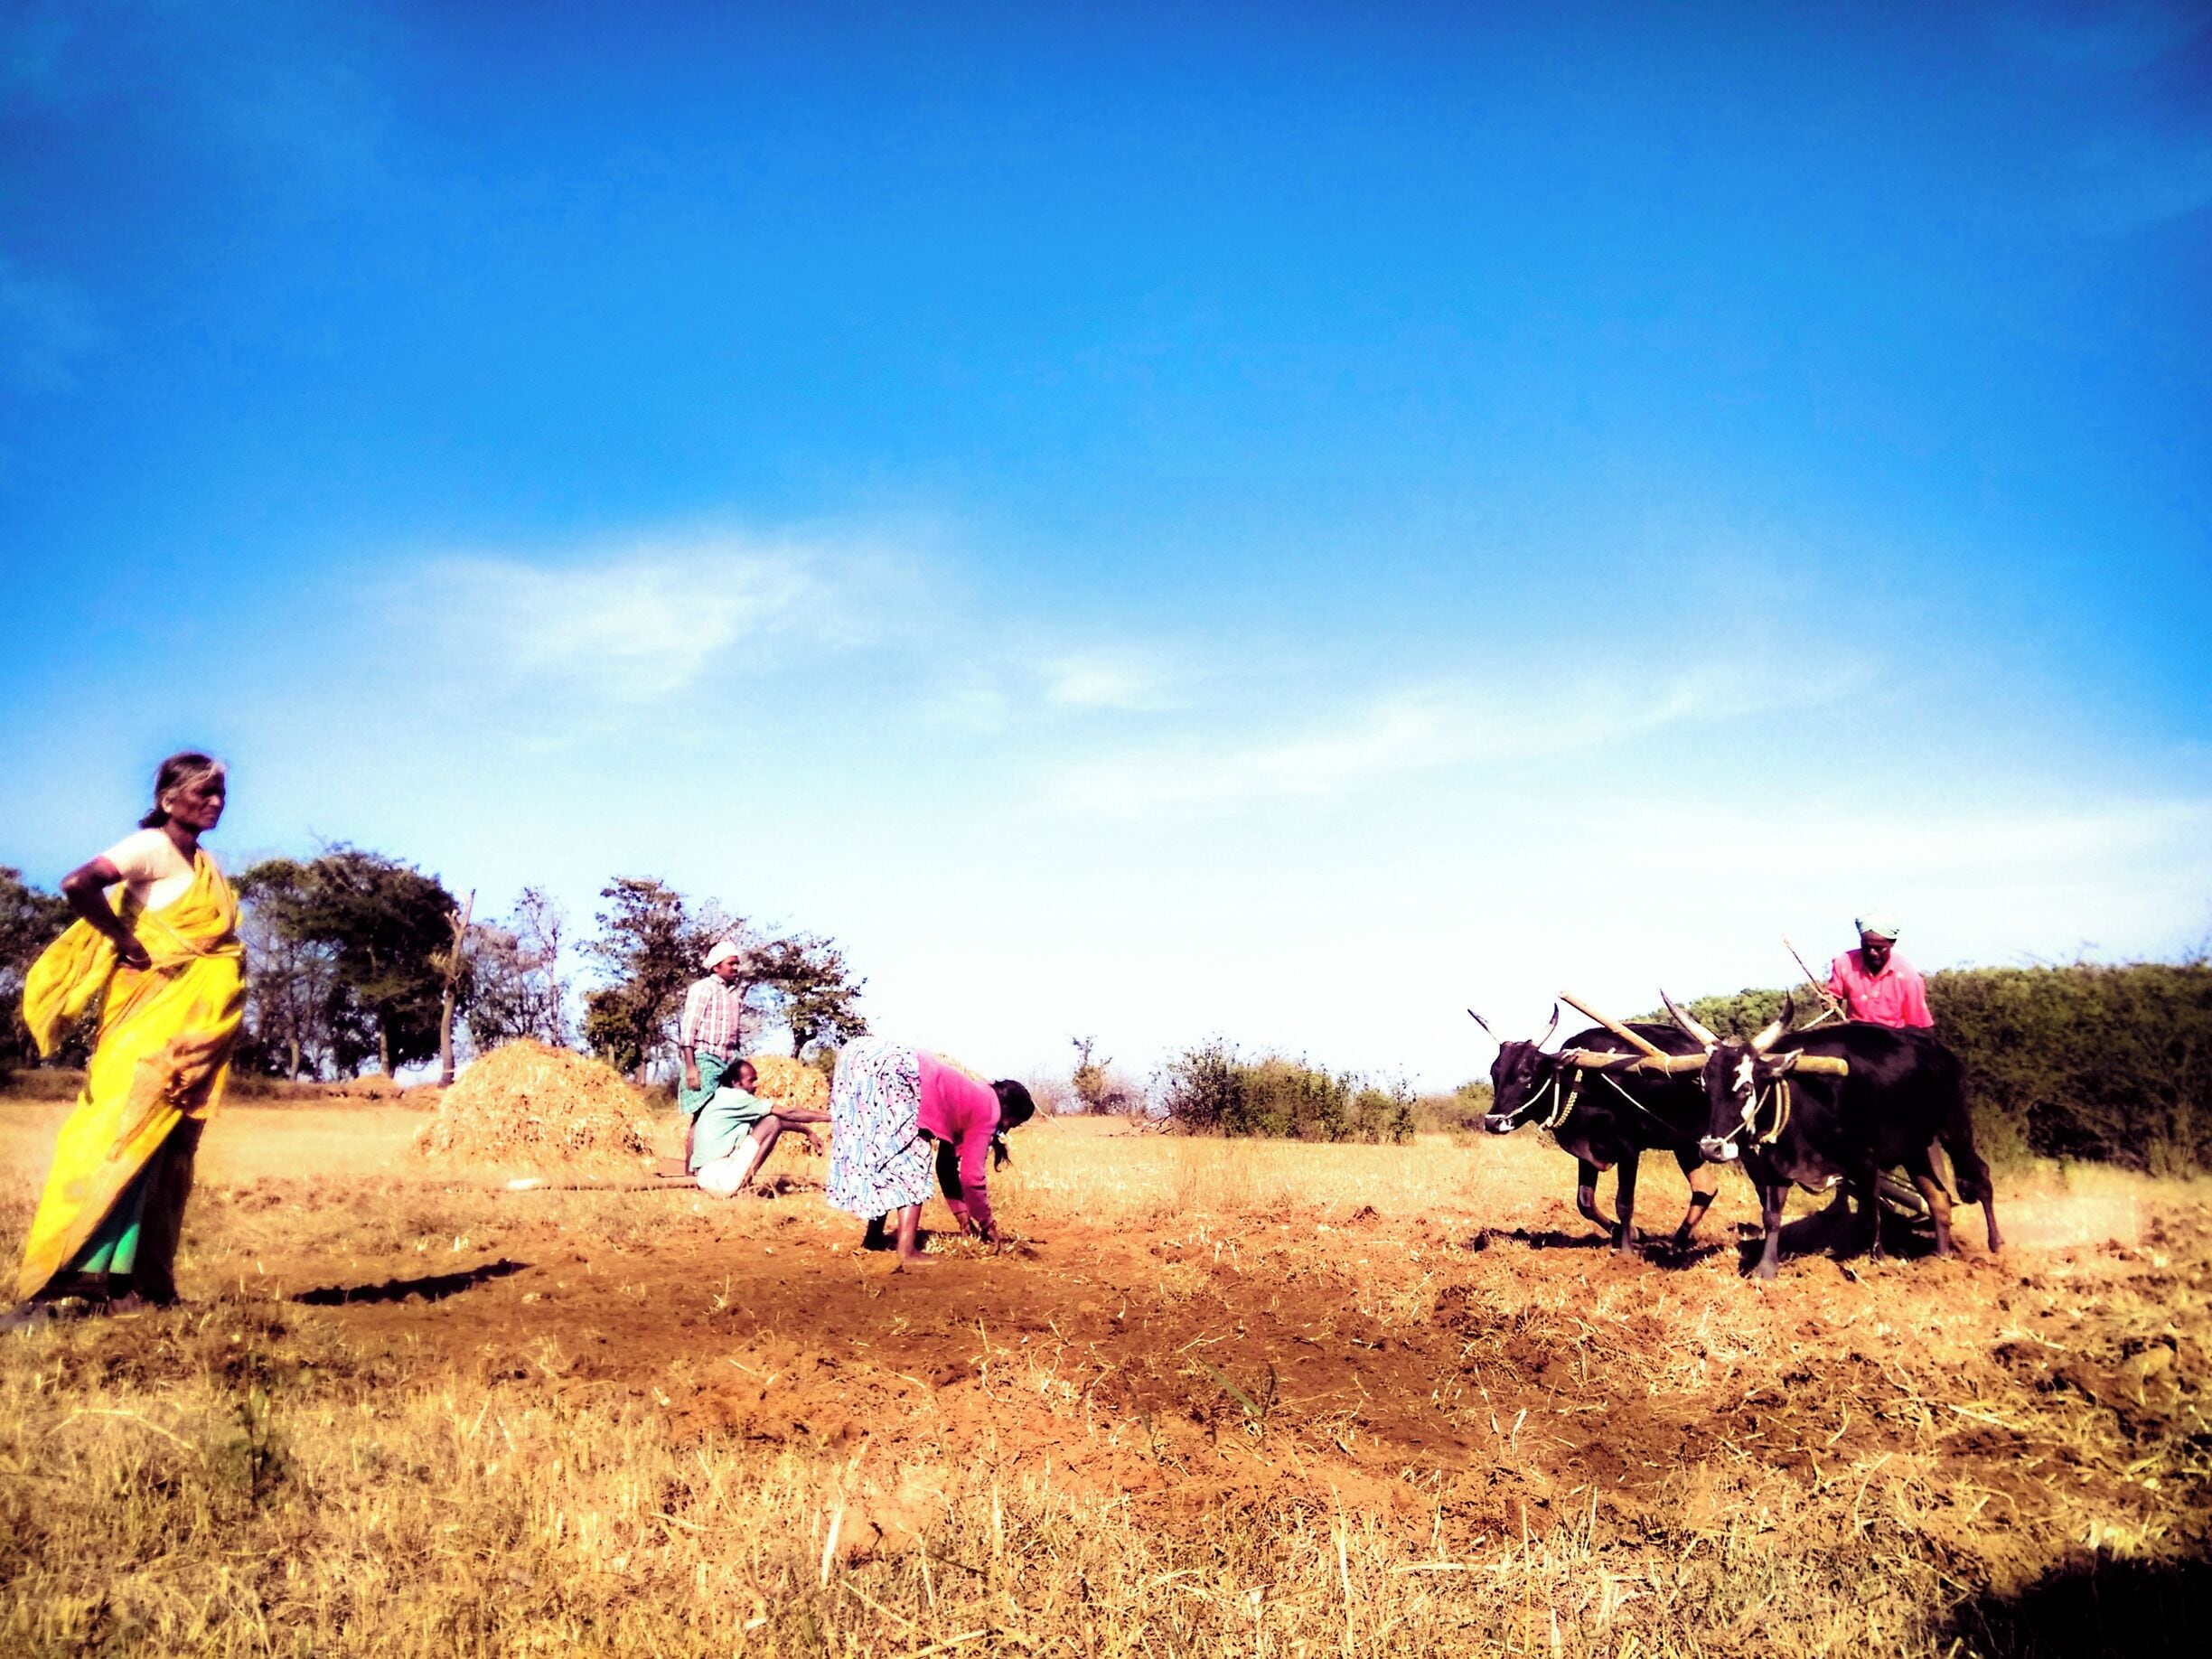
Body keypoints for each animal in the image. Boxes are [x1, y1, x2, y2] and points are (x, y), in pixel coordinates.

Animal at [1473, 1004, 1720, 1258]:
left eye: (1526, 1074)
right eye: (1494, 1073)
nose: (1493, 1122)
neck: (1583, 1082)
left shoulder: (1629, 1149)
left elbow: (1624, 1202)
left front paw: (1627, 1253)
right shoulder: (1587, 1153)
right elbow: (1585, 1202)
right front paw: (1633, 1233)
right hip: (1685, 1146)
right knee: (1705, 1189)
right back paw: (1677, 1245)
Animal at [1662, 992, 2002, 1280]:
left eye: (1746, 1086)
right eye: (1705, 1086)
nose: (1711, 1148)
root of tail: (1939, 1051)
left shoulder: (1866, 1160)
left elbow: (1870, 1215)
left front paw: (1876, 1263)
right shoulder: (1776, 1168)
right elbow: (1771, 1216)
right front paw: (1765, 1270)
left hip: (1954, 1129)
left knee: (1981, 1177)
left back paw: (1995, 1247)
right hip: (1916, 1149)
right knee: (1939, 1199)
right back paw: (1941, 1261)